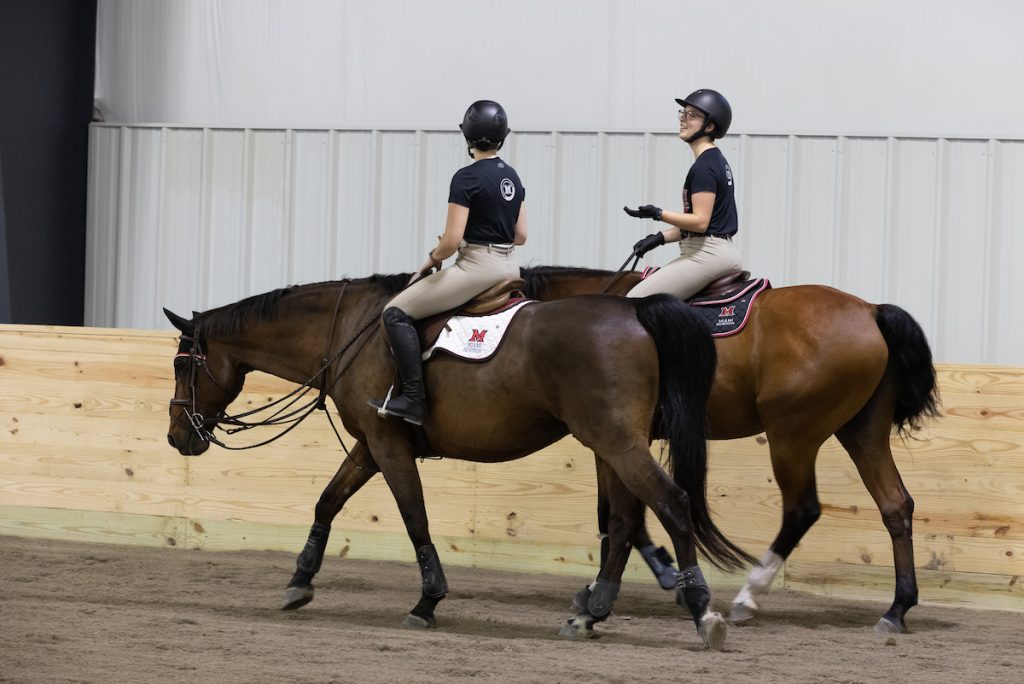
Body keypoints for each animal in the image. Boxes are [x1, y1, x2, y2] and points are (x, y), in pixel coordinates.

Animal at [161, 274, 753, 651]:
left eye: (182, 366)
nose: (176, 436)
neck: (349, 328)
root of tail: (634, 309)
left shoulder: (389, 445)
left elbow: (414, 518)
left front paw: (428, 601)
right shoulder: (370, 444)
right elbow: (327, 500)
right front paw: (300, 579)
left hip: (616, 442)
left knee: (671, 504)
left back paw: (702, 609)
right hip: (610, 446)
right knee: (628, 521)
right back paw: (590, 613)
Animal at [520, 264, 942, 634]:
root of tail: (871, 310)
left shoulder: (614, 440)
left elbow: (617, 515)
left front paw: (645, 580)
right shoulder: (620, 442)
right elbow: (622, 514)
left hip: (792, 436)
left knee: (802, 509)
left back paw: (748, 596)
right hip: (862, 433)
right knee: (895, 506)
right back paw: (896, 609)